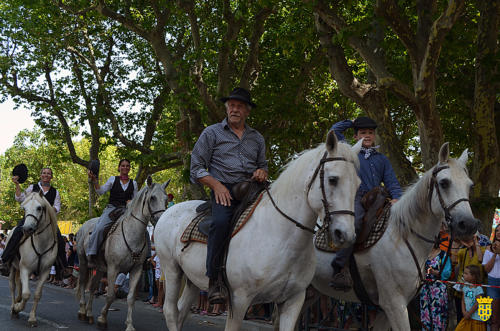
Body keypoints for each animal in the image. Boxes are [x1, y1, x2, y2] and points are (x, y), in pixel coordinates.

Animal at [8, 191, 59, 328]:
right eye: (24, 208)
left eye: (39, 208)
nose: (27, 229)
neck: (41, 244)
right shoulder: (25, 268)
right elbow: (26, 294)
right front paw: (17, 307)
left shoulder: (45, 271)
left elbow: (36, 295)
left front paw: (31, 318)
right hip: (13, 267)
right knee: (13, 286)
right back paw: (13, 307)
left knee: (19, 285)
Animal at [74, 179, 168, 331]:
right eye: (152, 198)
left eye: (166, 199)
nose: (160, 220)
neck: (131, 234)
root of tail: (84, 226)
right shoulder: (113, 268)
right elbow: (111, 295)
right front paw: (102, 319)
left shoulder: (136, 270)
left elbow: (130, 298)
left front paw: (129, 325)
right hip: (83, 262)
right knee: (82, 283)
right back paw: (82, 311)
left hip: (99, 268)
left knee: (93, 287)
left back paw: (89, 314)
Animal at [154, 131, 362, 330]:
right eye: (333, 180)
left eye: (358, 184)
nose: (345, 235)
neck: (281, 238)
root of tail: (167, 212)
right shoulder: (239, 301)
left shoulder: (293, 301)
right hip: (171, 269)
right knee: (171, 311)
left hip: (192, 280)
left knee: (181, 312)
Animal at [308, 141, 480, 330]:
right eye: (444, 183)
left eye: (470, 185)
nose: (468, 224)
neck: (404, 238)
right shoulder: (394, 304)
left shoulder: (387, 310)